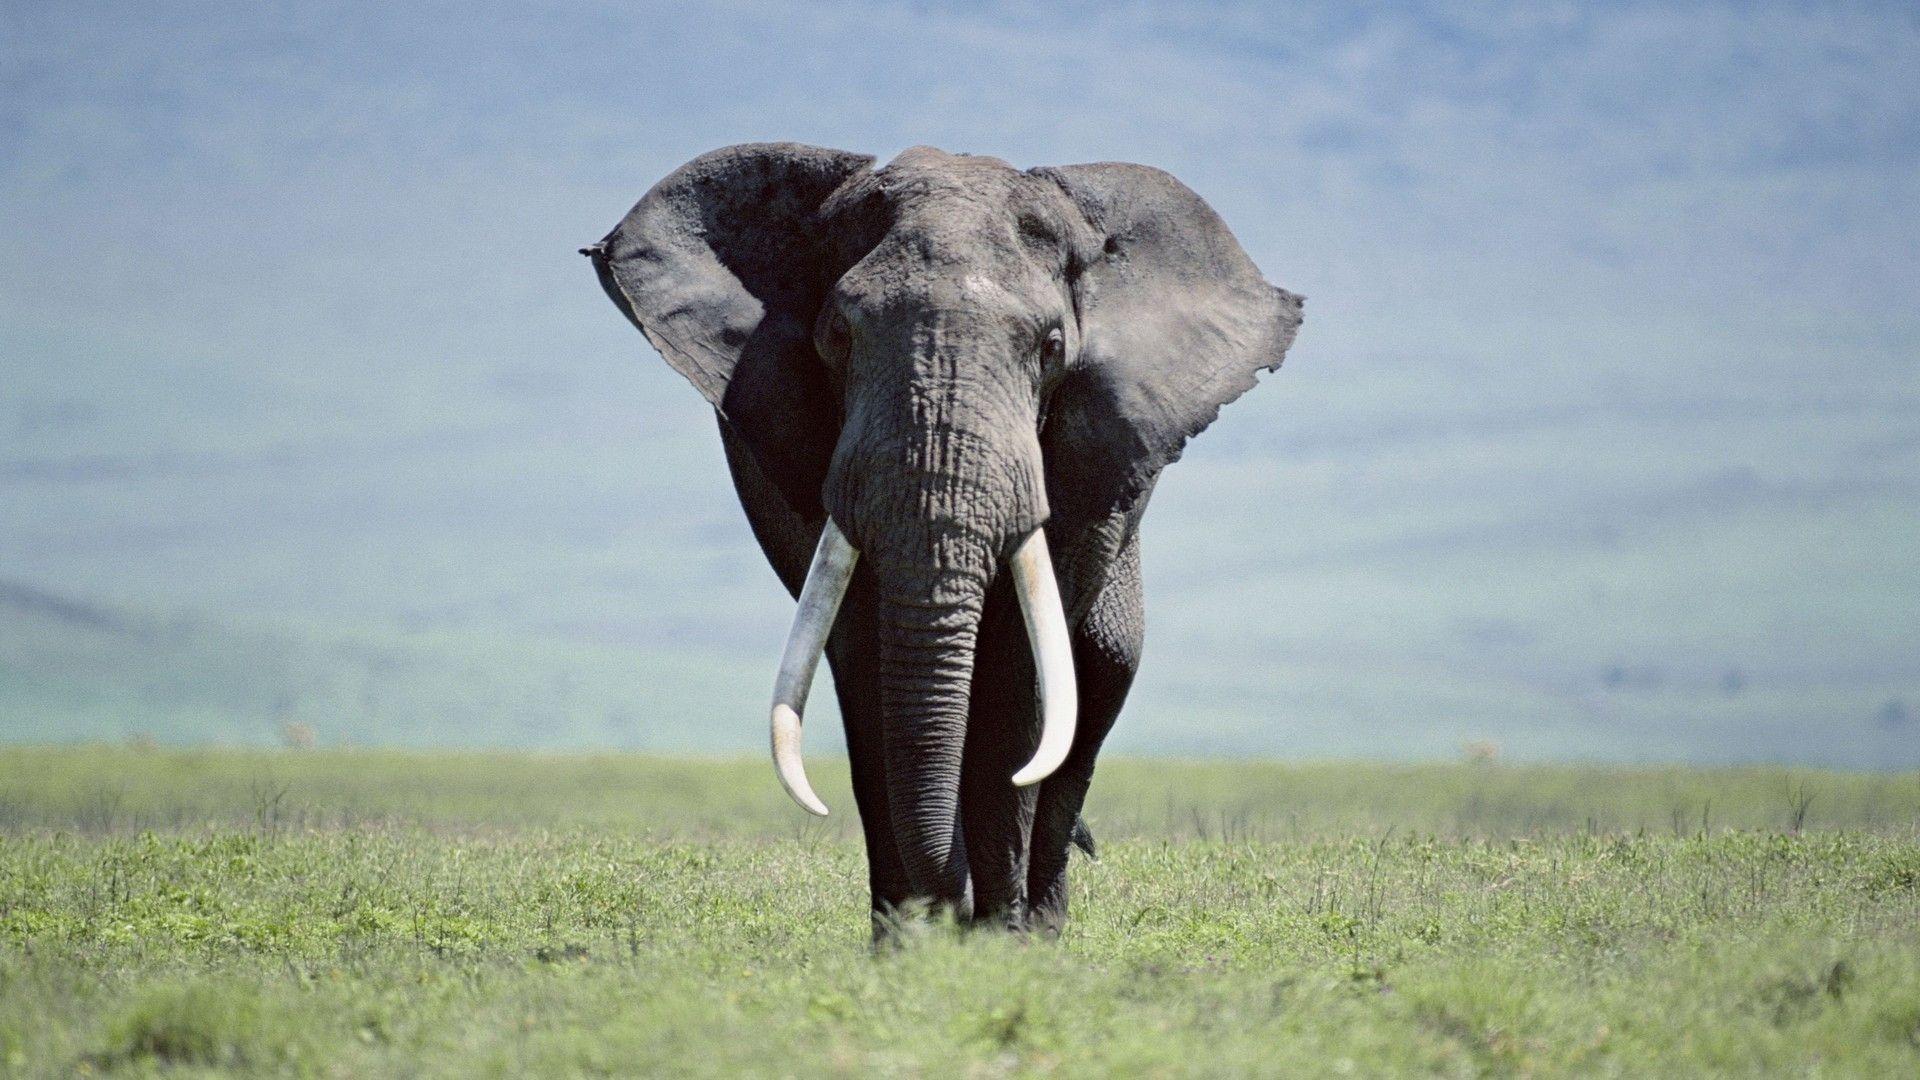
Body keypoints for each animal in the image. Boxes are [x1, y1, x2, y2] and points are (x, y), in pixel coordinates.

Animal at [584, 143, 1302, 935]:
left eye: (1051, 347)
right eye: (838, 337)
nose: (952, 910)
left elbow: (1021, 667)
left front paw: (999, 941)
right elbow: (863, 654)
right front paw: (909, 940)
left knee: (1103, 673)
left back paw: (1041, 925)